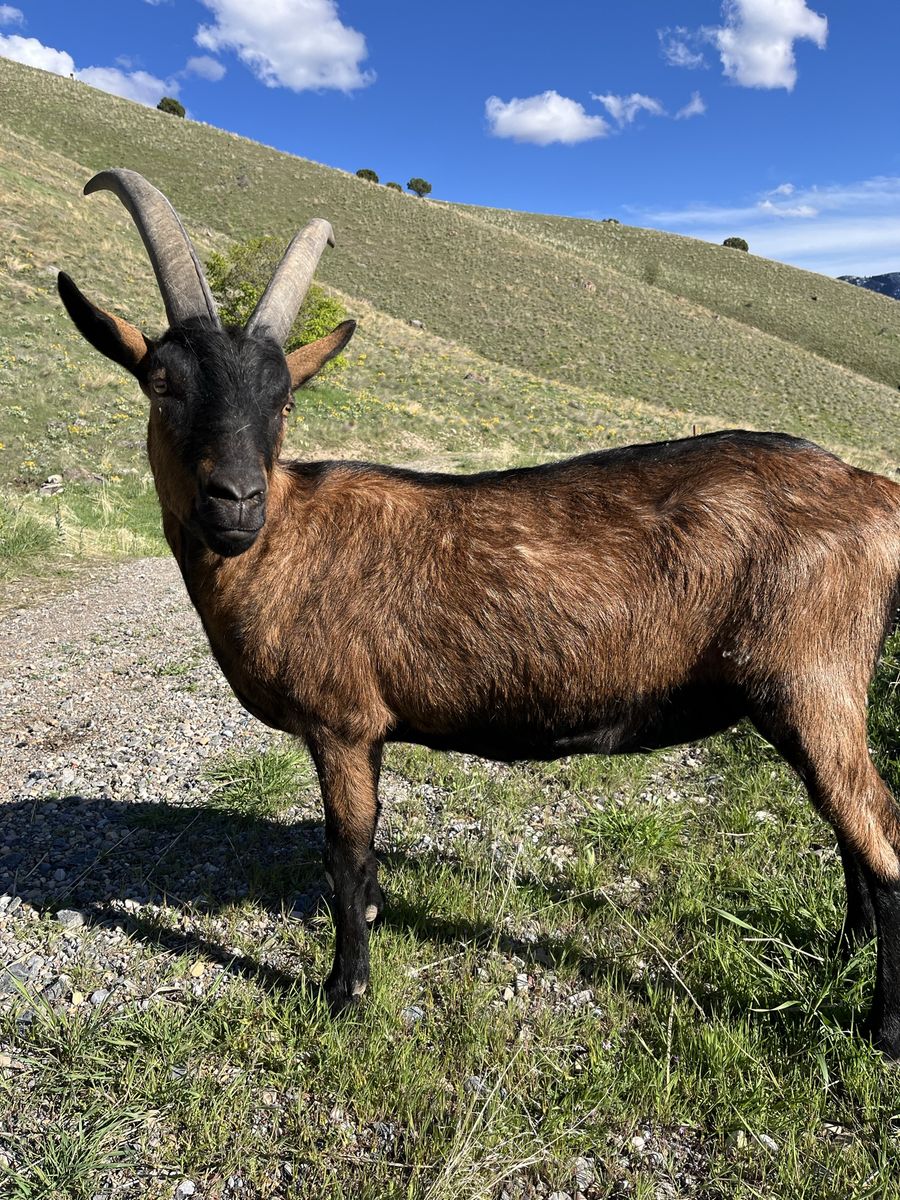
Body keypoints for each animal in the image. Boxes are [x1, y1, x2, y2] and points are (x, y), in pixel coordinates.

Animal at [59, 169, 900, 1053]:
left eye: (283, 399)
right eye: (161, 383)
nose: (236, 500)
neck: (288, 539)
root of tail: (875, 492)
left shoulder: (341, 721)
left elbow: (344, 853)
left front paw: (345, 991)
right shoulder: (366, 729)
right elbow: (366, 851)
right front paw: (372, 926)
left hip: (813, 677)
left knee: (878, 834)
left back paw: (881, 1029)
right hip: (805, 696)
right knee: (846, 825)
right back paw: (842, 954)